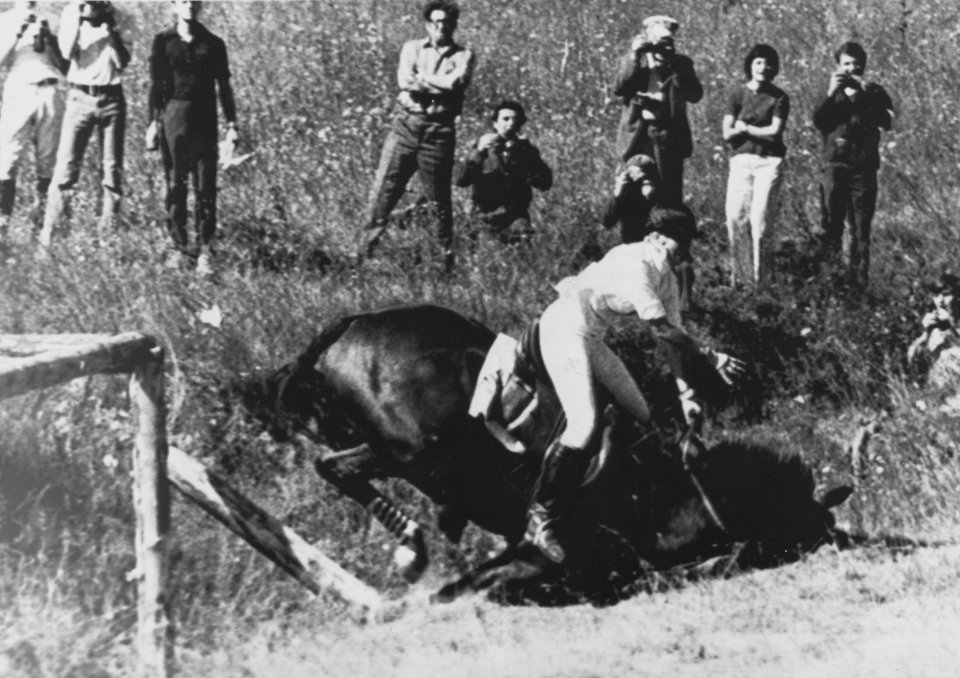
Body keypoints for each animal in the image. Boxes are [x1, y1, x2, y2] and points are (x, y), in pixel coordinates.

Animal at [242, 304, 856, 604]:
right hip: (415, 449)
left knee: (334, 466)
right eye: (799, 523)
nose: (835, 541)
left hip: (389, 449)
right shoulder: (562, 557)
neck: (655, 485)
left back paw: (414, 542)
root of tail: (357, 324)